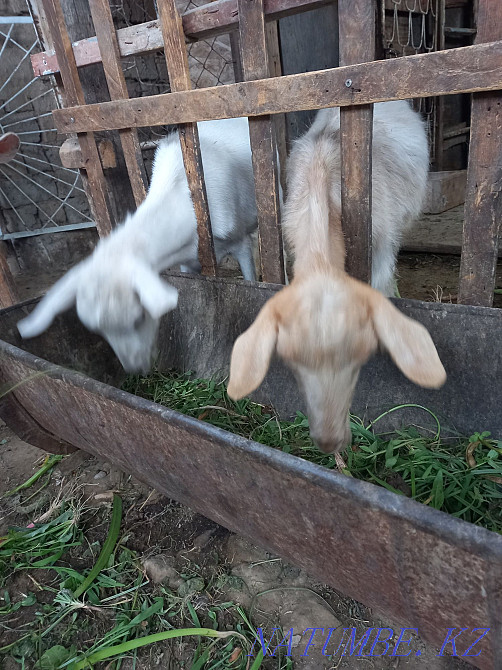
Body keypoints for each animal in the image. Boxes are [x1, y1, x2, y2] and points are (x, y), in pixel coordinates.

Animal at [18, 117, 258, 373]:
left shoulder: (239, 240)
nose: (135, 369)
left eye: (139, 318)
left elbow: (250, 278)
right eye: (98, 331)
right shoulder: (188, 259)